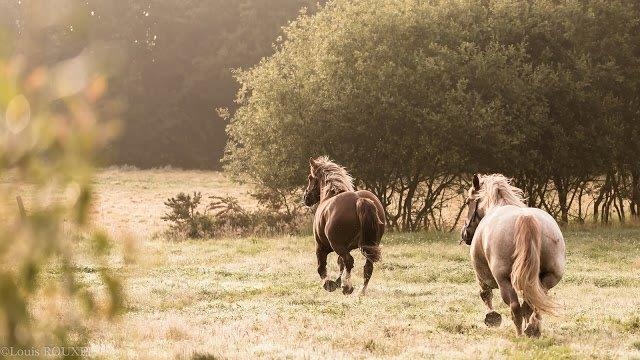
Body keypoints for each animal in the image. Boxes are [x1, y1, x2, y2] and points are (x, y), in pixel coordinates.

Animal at [302, 157, 382, 296]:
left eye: (310, 177)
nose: (306, 198)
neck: (330, 194)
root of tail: (359, 200)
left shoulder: (321, 246)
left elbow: (321, 267)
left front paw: (329, 284)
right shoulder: (346, 248)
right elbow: (340, 263)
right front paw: (337, 282)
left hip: (337, 246)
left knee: (349, 261)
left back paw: (347, 287)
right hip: (371, 245)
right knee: (367, 266)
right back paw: (361, 291)